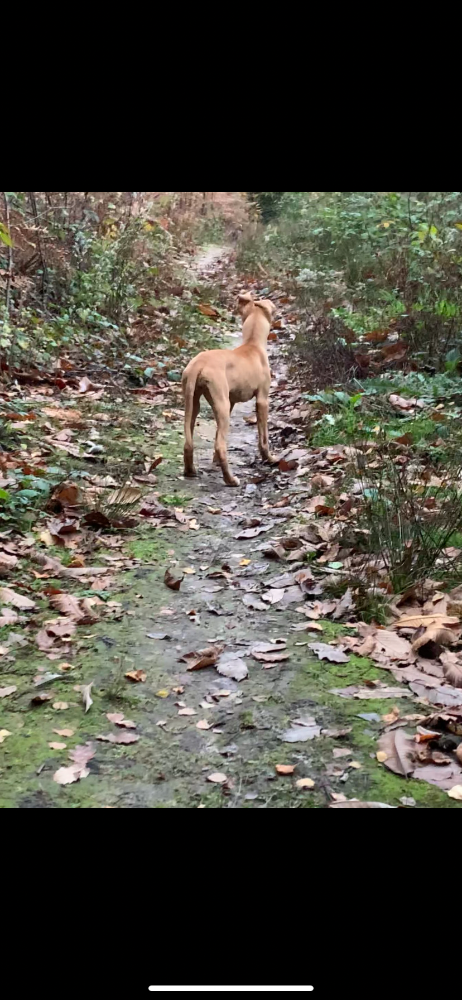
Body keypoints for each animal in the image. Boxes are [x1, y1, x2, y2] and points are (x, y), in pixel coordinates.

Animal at [182, 292, 278, 486]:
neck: (252, 345)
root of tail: (199, 363)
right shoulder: (262, 400)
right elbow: (263, 438)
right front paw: (269, 458)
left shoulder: (231, 402)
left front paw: (215, 463)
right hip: (222, 406)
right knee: (220, 445)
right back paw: (231, 479)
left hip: (196, 402)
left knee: (189, 442)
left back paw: (190, 471)